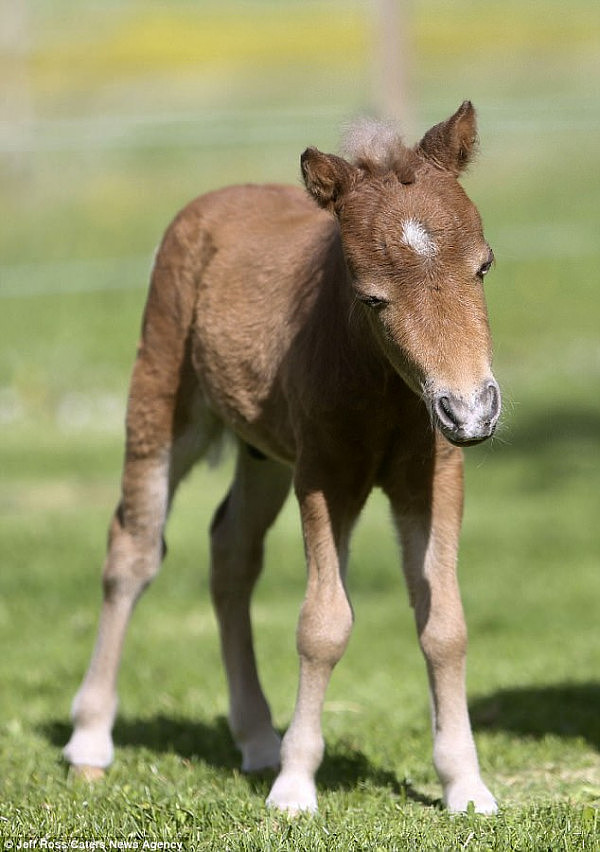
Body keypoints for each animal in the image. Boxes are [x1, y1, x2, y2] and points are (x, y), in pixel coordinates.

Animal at [63, 103, 500, 816]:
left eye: (484, 266)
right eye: (372, 296)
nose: (471, 412)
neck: (383, 387)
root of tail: (210, 203)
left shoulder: (433, 478)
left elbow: (445, 624)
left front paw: (466, 785)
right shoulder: (324, 477)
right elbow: (323, 624)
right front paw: (295, 788)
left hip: (263, 453)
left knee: (231, 551)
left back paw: (257, 738)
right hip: (163, 402)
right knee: (133, 549)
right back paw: (91, 741)